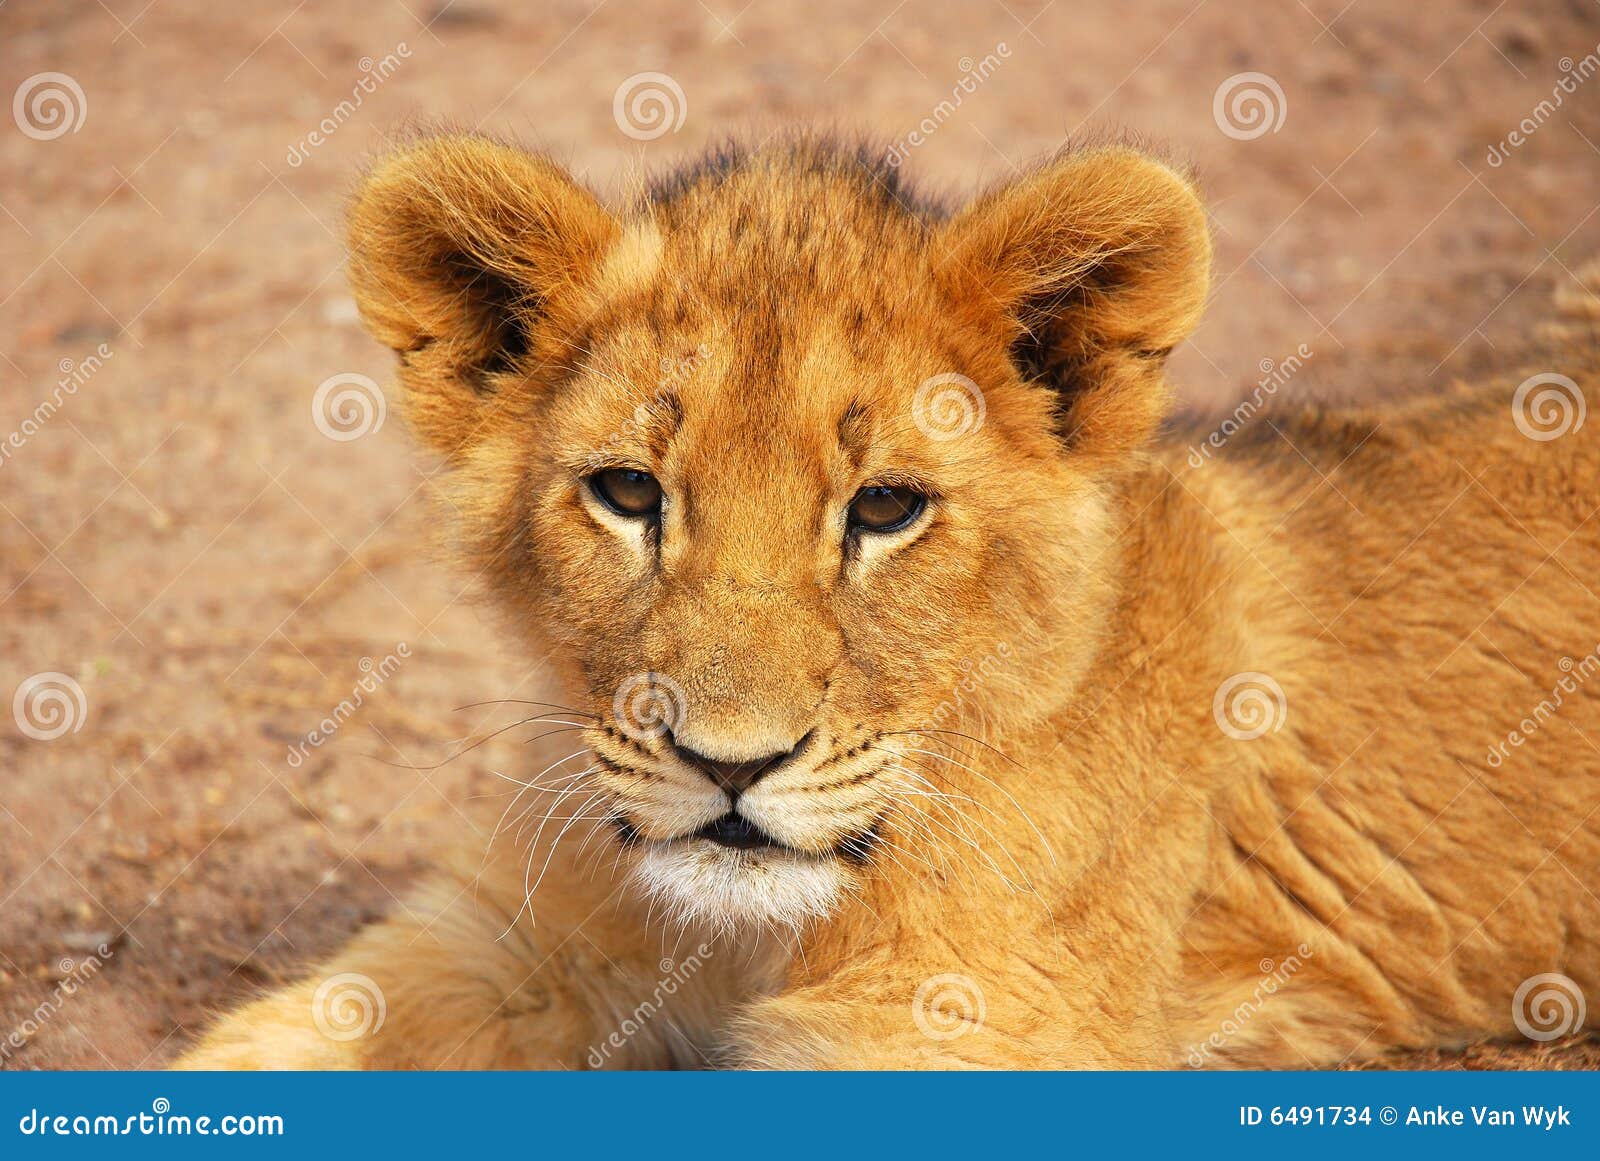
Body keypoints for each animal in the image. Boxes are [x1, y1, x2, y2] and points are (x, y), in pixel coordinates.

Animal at [176, 133, 1599, 1069]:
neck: (749, 937)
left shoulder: (973, 1031)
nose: (728, 765)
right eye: (630, 493)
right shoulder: (508, 948)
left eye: (883, 510)